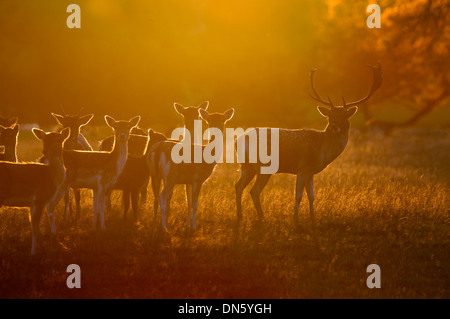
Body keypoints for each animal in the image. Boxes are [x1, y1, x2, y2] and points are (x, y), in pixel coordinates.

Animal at [0, 127, 70, 255]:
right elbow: (36, 228)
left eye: (59, 139)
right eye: (44, 139)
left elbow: (33, 226)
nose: (45, 151)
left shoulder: (33, 203)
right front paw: (33, 253)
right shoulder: (40, 199)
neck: (51, 175)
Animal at [234, 63, 382, 225]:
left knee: (238, 186)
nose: (334, 126)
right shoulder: (303, 168)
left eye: (344, 116)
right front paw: (296, 220)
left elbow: (311, 196)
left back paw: (240, 217)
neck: (322, 149)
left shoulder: (311, 172)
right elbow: (298, 195)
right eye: (329, 116)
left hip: (247, 167)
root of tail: (238, 140)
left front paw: (313, 219)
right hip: (263, 167)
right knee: (254, 191)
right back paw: (262, 218)